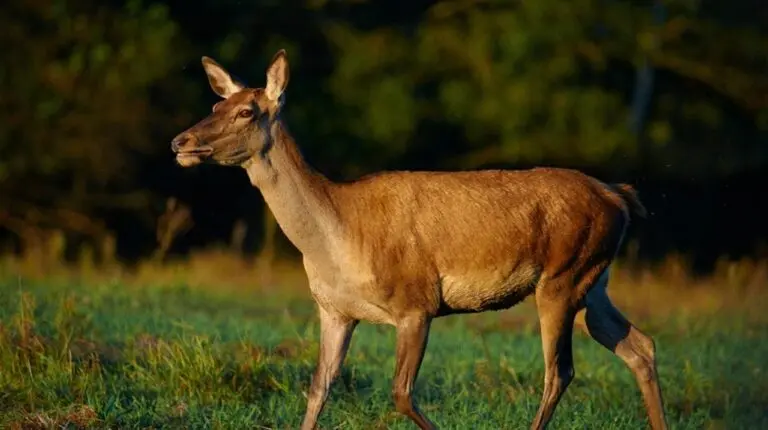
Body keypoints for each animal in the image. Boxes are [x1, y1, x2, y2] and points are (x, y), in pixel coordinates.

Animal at [170, 49, 668, 430]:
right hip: (594, 283)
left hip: (564, 277)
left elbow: (401, 394)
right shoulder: (334, 310)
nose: (181, 142)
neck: (335, 239)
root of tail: (619, 196)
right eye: (215, 107)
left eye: (246, 111)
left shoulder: (416, 302)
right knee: (639, 346)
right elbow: (318, 388)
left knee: (559, 371)